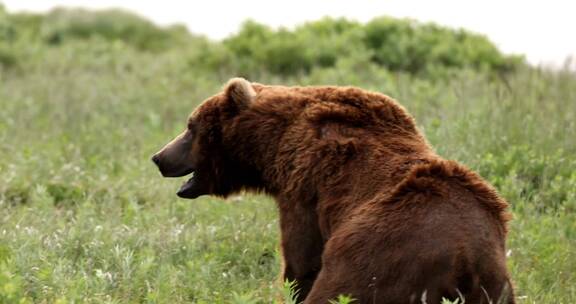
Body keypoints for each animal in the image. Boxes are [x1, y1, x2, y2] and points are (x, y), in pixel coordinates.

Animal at [152, 78, 512, 304]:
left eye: (190, 127)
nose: (159, 157)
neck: (273, 146)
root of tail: (463, 259)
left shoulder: (303, 191)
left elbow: (302, 261)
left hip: (380, 256)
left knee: (337, 290)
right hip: (494, 281)